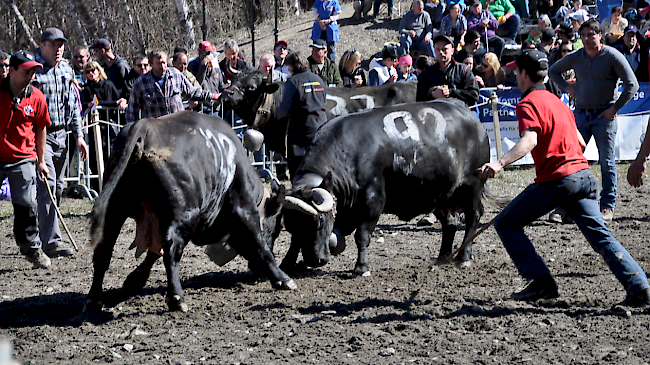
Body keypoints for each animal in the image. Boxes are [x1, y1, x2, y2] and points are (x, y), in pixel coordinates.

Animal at [86, 112, 296, 312]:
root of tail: (147, 126)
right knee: (172, 249)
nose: (255, 271)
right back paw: (176, 298)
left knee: (104, 250)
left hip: (115, 208)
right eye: (275, 229)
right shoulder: (244, 209)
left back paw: (95, 298)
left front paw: (134, 280)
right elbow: (259, 244)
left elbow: (153, 253)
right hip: (186, 215)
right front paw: (282, 278)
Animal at [276, 98, 508, 274]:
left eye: (320, 221)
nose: (314, 260)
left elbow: (362, 235)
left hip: (472, 186)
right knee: (450, 222)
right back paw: (443, 256)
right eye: (291, 224)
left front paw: (361, 267)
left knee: (473, 216)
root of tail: (469, 115)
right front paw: (287, 263)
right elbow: (324, 239)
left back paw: (464, 257)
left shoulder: (373, 200)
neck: (347, 153)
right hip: (440, 194)